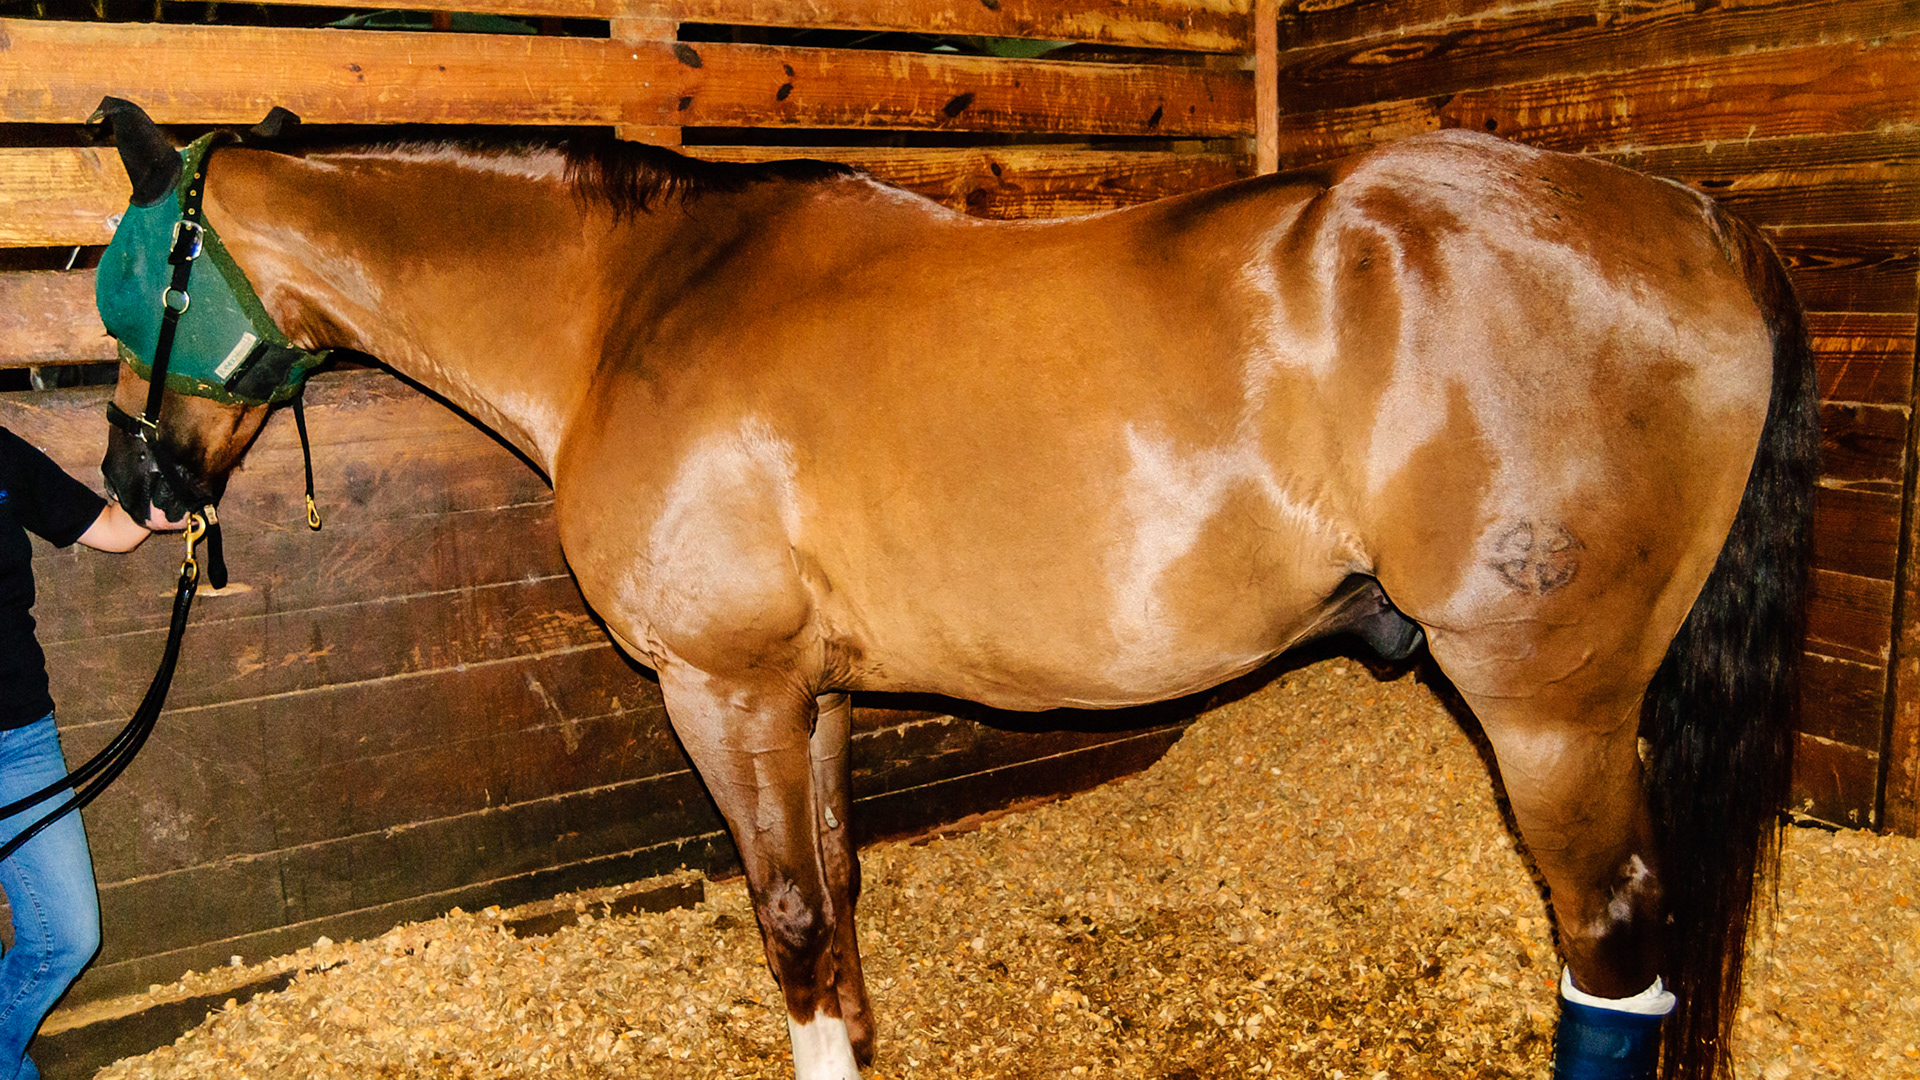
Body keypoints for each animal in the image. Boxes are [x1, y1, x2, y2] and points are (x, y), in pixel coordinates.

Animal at [86, 97, 1813, 1080]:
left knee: (1612, 946)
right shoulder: (813, 694)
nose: (135, 477)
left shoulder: (724, 686)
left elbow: (786, 916)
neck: (635, 303)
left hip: (1549, 707)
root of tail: (1692, 217)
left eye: (127, 271)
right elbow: (841, 896)